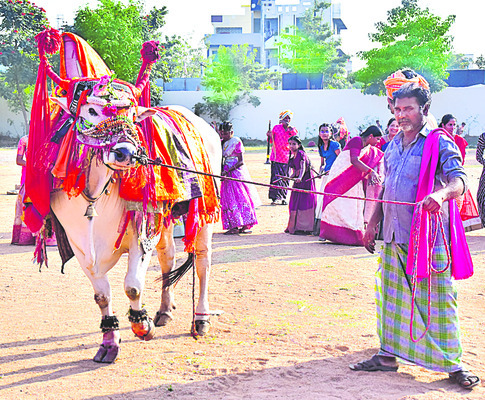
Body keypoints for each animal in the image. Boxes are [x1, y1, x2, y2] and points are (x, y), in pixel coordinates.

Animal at [22, 29, 219, 364]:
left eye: (133, 116)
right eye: (90, 110)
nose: (126, 153)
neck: (93, 194)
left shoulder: (140, 231)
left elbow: (133, 287)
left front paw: (142, 327)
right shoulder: (80, 244)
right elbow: (102, 294)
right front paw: (109, 341)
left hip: (203, 210)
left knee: (203, 261)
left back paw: (201, 318)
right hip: (165, 219)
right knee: (168, 257)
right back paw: (164, 310)